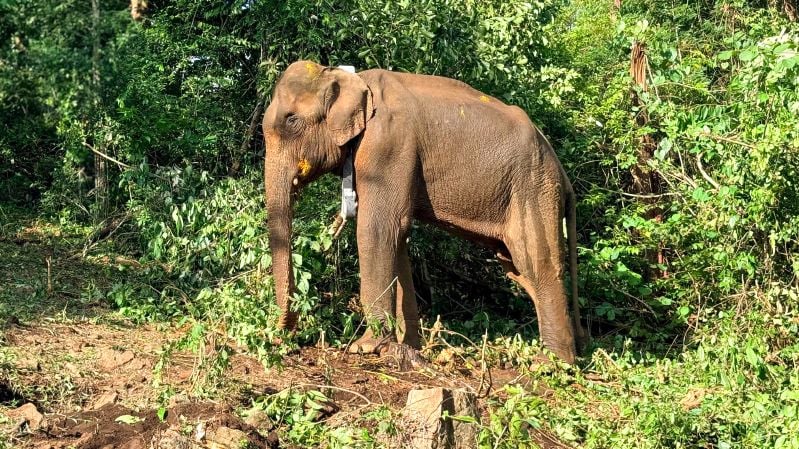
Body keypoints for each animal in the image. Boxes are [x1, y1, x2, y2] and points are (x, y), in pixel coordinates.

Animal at [263, 60, 584, 363]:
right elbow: (397, 237)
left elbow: (376, 230)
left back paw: (552, 362)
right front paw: (408, 347)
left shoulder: (387, 146)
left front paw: (365, 348)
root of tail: (563, 173)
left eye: (292, 120)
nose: (284, 335)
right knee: (518, 270)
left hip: (533, 188)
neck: (348, 77)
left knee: (537, 261)